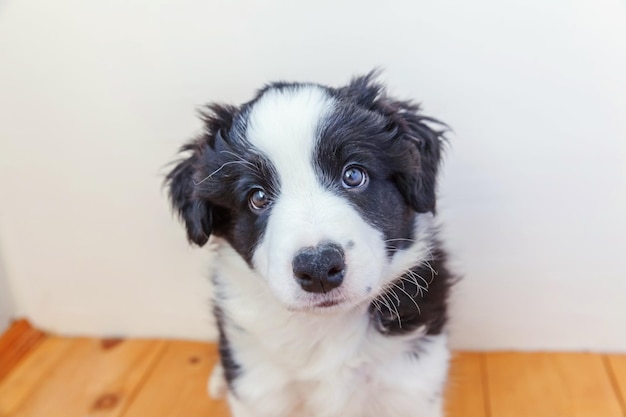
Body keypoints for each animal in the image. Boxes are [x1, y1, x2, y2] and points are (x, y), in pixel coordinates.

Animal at [166, 72, 450, 416]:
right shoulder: (260, 389)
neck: (325, 328)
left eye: (353, 175)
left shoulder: (410, 385)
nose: (318, 269)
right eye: (257, 197)